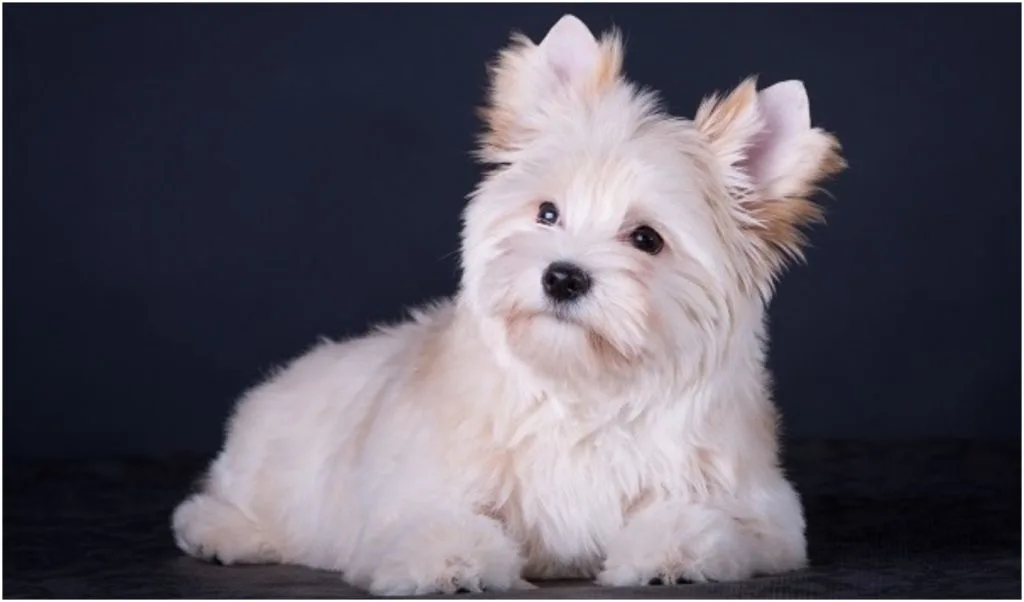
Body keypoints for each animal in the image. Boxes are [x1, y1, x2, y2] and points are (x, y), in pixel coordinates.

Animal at [172, 14, 847, 597]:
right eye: (547, 213)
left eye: (647, 239)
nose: (564, 276)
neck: (582, 390)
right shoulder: (413, 487)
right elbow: (427, 520)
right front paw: (449, 559)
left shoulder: (758, 510)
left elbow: (713, 521)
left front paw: (672, 551)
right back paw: (223, 532)